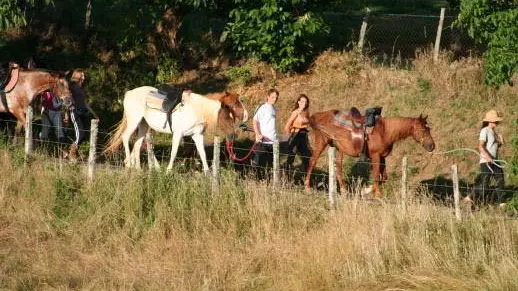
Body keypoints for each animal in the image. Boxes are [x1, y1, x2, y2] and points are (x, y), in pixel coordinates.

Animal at [105, 86, 248, 173]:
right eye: (233, 104)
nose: (246, 116)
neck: (196, 109)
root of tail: (129, 93)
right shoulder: (178, 134)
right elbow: (174, 152)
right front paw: (168, 171)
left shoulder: (196, 135)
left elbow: (202, 153)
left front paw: (207, 173)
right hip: (134, 121)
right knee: (126, 137)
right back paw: (129, 164)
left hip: (143, 125)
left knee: (138, 144)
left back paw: (139, 169)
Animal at [306, 110, 436, 198]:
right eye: (423, 130)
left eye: (429, 129)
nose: (432, 146)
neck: (384, 131)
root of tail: (317, 116)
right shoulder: (375, 156)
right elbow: (376, 176)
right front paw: (377, 194)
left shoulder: (382, 157)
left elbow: (383, 177)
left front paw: (365, 190)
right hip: (321, 143)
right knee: (312, 162)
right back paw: (307, 187)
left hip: (338, 148)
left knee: (338, 169)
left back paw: (344, 191)